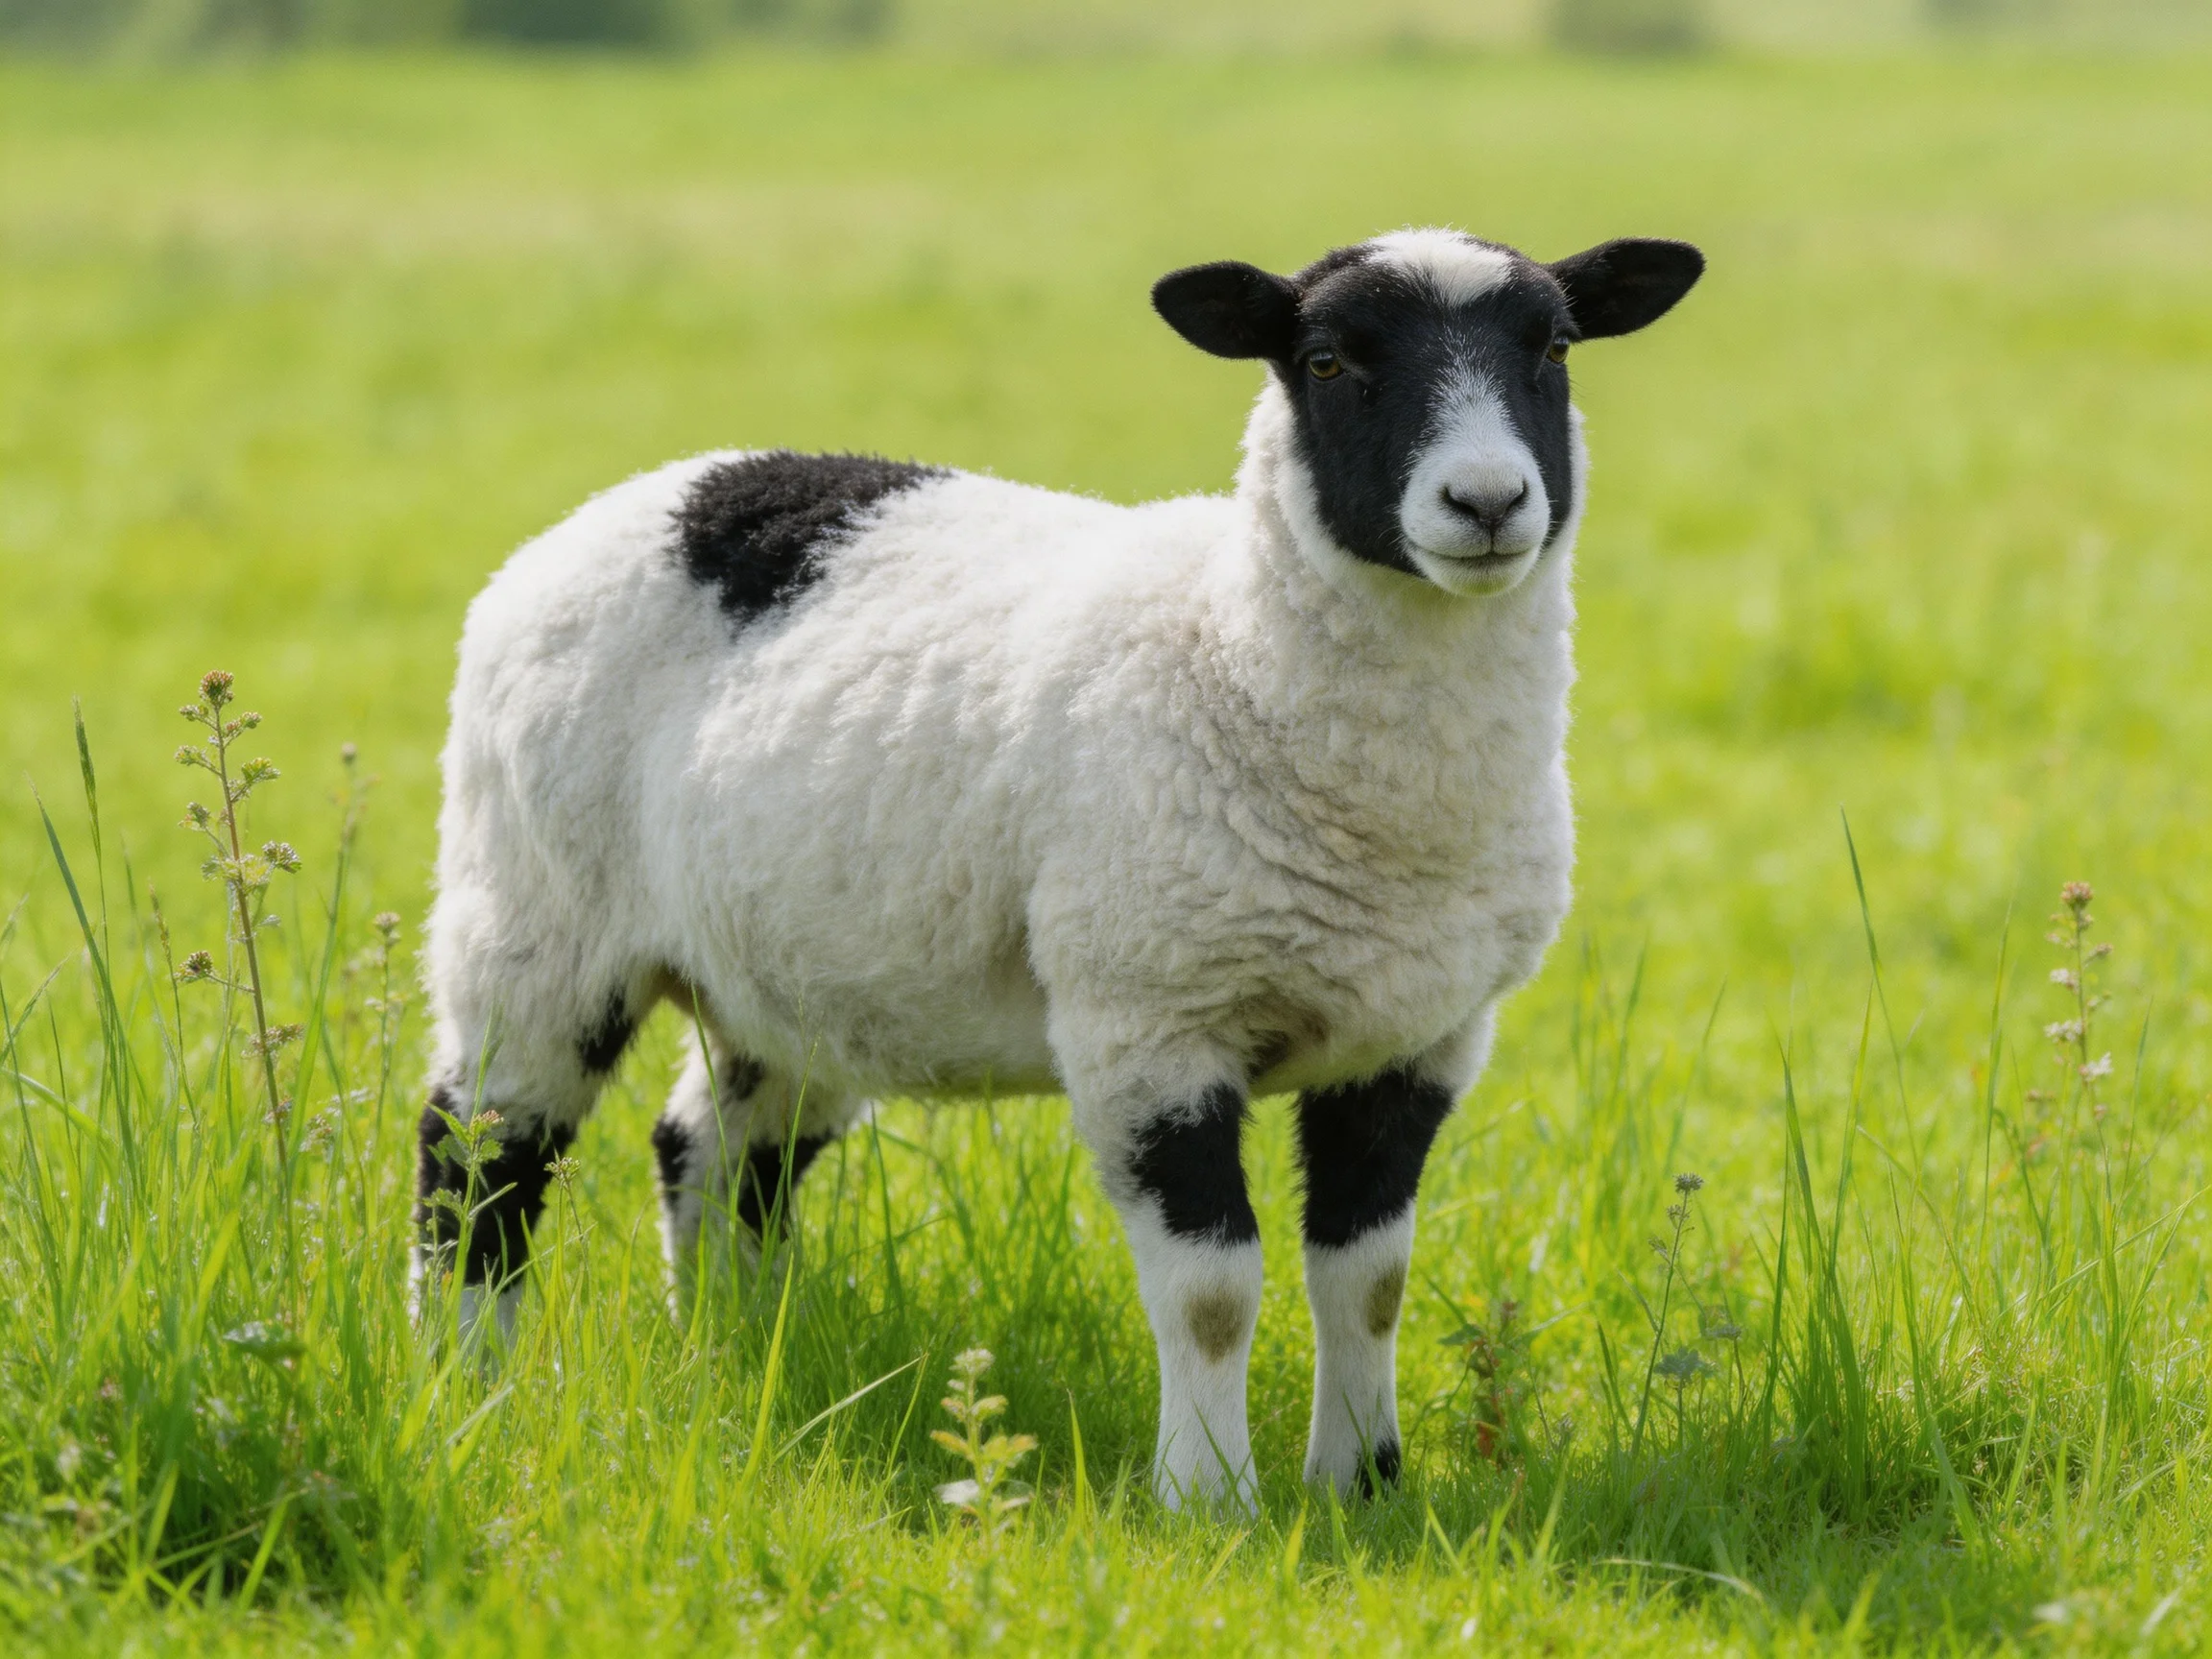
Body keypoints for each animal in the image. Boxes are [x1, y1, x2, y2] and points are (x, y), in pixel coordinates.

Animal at [413, 226, 1704, 1510]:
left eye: (1554, 347)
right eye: (1328, 361)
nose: (1486, 502)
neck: (1233, 650)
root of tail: (650, 495)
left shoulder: (1419, 1038)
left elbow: (1368, 1276)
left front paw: (1361, 1488)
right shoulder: (1149, 1021)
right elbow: (1214, 1289)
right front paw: (1210, 1501)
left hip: (788, 968)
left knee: (712, 1154)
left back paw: (738, 1349)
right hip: (532, 909)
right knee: (476, 1158)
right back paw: (466, 1387)